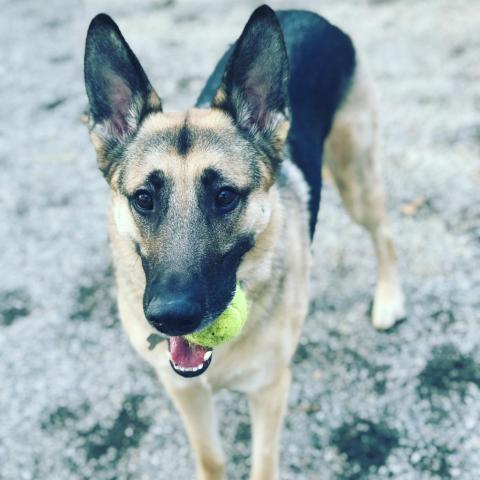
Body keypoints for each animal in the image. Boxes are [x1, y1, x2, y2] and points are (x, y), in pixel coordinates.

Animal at [83, 4, 404, 480]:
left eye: (224, 196)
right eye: (143, 199)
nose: (171, 318)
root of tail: (307, 13)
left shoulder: (269, 390)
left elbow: (264, 464)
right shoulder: (185, 393)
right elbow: (211, 458)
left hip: (355, 180)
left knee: (384, 232)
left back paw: (388, 299)